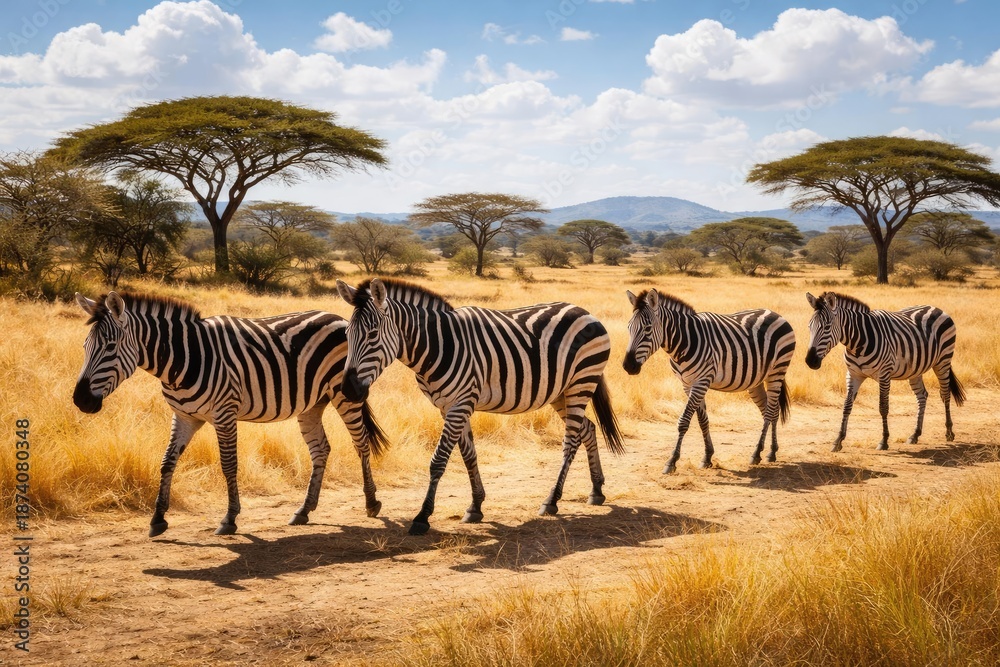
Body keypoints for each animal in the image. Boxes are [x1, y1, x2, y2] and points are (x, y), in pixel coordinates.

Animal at [73, 291, 389, 536]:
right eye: (85, 346)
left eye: (110, 347)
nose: (80, 400)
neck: (183, 359)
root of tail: (338, 317)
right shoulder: (184, 416)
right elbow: (166, 462)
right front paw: (158, 519)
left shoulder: (224, 413)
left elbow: (228, 465)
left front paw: (230, 519)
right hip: (311, 404)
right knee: (320, 449)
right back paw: (304, 510)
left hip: (343, 394)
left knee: (360, 443)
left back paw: (371, 502)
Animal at [334, 278, 625, 536]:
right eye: (346, 334)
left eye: (372, 335)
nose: (348, 390)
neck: (437, 346)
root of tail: (585, 312)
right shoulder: (449, 406)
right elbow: (468, 455)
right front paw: (475, 506)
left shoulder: (460, 403)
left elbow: (438, 460)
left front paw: (422, 517)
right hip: (560, 392)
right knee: (587, 428)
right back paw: (596, 490)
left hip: (581, 381)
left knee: (571, 440)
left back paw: (551, 500)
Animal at [623, 289, 796, 473]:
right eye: (629, 327)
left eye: (647, 329)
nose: (628, 366)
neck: (684, 342)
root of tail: (775, 313)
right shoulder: (687, 384)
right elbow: (702, 420)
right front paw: (707, 457)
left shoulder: (701, 381)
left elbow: (684, 421)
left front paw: (672, 460)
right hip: (756, 380)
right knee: (771, 412)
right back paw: (771, 451)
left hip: (777, 371)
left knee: (770, 412)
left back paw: (757, 453)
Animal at [804, 292, 965, 451]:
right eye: (809, 326)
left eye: (827, 327)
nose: (810, 361)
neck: (858, 344)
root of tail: (936, 308)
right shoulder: (853, 374)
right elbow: (847, 406)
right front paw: (838, 440)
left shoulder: (884, 374)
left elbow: (883, 407)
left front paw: (884, 440)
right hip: (915, 369)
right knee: (922, 395)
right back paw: (915, 434)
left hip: (943, 361)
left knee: (945, 394)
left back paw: (949, 432)